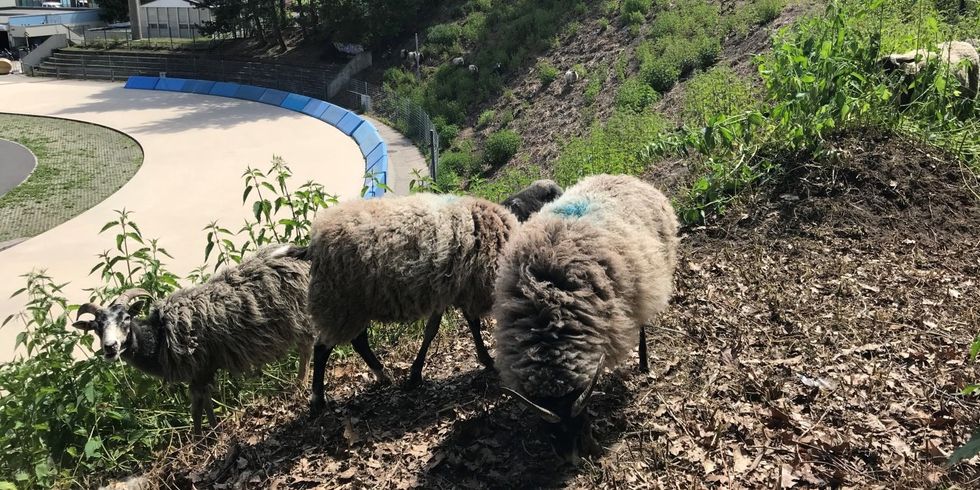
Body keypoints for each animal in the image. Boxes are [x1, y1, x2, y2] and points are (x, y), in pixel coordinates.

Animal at [72, 245, 316, 434]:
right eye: (96, 327)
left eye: (126, 319)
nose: (110, 347)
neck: (158, 338)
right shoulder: (200, 372)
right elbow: (204, 401)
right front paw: (213, 430)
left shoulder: (199, 367)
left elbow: (196, 407)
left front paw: (198, 438)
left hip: (300, 315)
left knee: (306, 346)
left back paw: (301, 383)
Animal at [287, 193, 520, 416]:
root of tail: (313, 245)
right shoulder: (469, 290)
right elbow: (470, 325)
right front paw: (487, 360)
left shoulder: (449, 292)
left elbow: (436, 330)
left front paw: (415, 374)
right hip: (339, 302)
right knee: (322, 349)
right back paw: (318, 401)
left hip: (355, 305)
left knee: (358, 341)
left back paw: (383, 376)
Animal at [493, 174, 679, 462]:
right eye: (551, 431)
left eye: (582, 422)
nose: (571, 461)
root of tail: (623, 177)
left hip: (645, 283)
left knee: (642, 323)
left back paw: (644, 363)